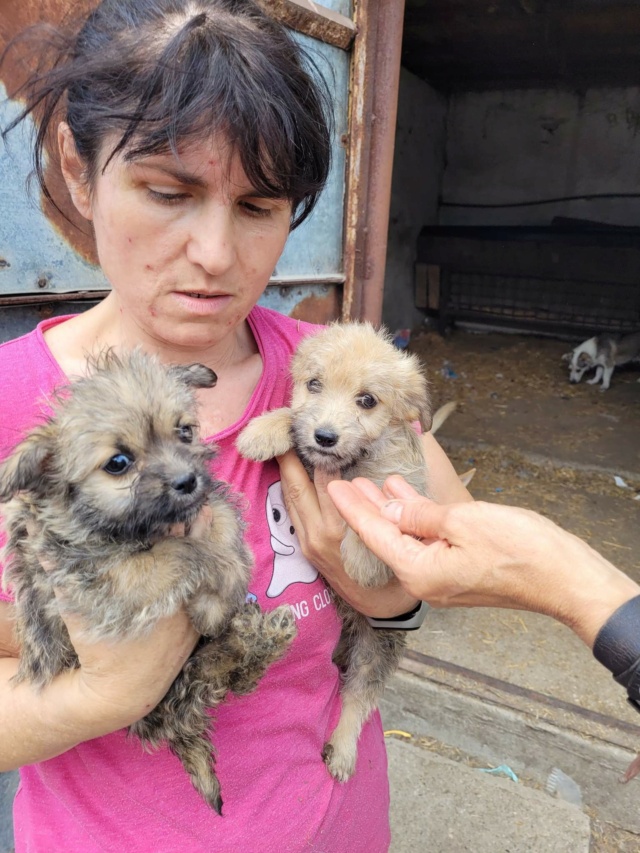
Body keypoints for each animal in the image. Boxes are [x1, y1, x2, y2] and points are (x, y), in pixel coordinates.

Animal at [0, 350, 298, 816]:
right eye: (118, 463)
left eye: (185, 431)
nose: (187, 481)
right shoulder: (104, 579)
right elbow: (182, 553)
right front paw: (214, 594)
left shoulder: (206, 506)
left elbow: (220, 522)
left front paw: (229, 574)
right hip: (167, 695)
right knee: (222, 674)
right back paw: (253, 632)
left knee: (236, 676)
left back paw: (264, 631)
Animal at [238, 322, 432, 784]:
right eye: (314, 384)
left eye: (367, 400)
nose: (325, 436)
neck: (347, 464)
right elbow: (292, 416)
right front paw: (264, 430)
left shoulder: (407, 487)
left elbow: (375, 502)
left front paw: (360, 556)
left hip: (376, 649)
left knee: (358, 698)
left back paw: (342, 750)